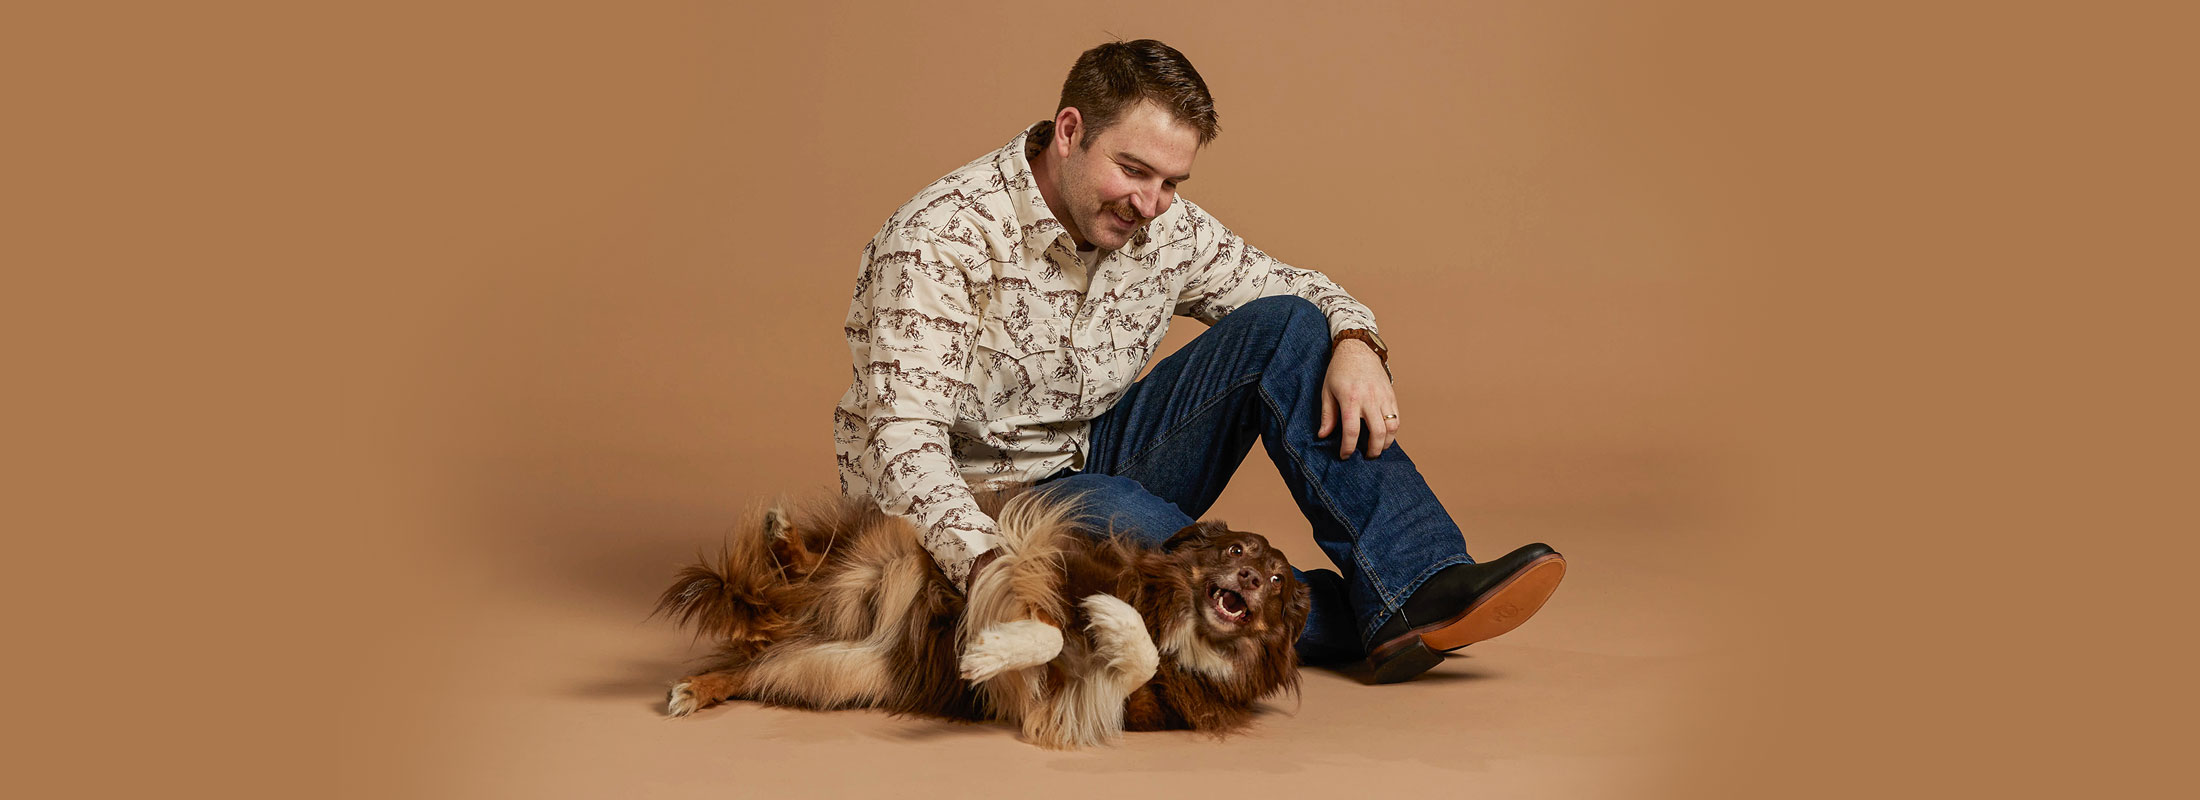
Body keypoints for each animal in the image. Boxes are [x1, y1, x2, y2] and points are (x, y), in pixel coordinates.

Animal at [646, 487, 1302, 751]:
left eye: (1277, 582)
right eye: (1236, 551)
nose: (1249, 581)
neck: (1181, 625)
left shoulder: (1097, 704)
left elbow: (1131, 662)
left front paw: (1111, 627)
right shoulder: (1044, 560)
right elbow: (1049, 627)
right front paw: (995, 647)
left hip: (837, 669)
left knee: (759, 657)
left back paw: (699, 686)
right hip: (877, 564)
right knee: (800, 578)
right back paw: (783, 542)